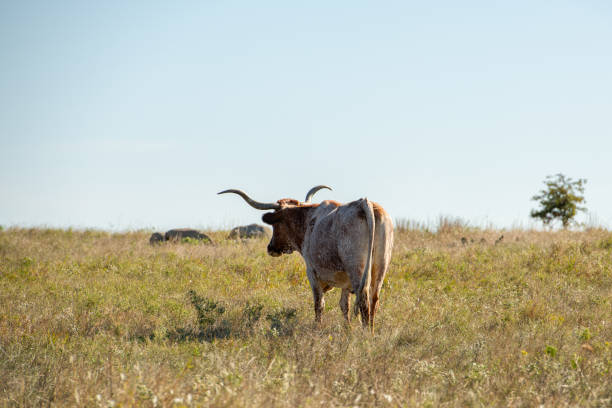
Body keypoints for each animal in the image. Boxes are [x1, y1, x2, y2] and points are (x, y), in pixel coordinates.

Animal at [218, 185, 394, 332]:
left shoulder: (312, 272)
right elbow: (344, 306)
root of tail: (364, 203)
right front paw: (347, 330)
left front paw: (318, 328)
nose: (270, 248)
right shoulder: (344, 282)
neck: (308, 221)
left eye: (275, 224)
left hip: (356, 269)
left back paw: (365, 335)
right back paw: (371, 332)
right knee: (373, 300)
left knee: (363, 300)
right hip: (379, 269)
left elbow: (319, 303)